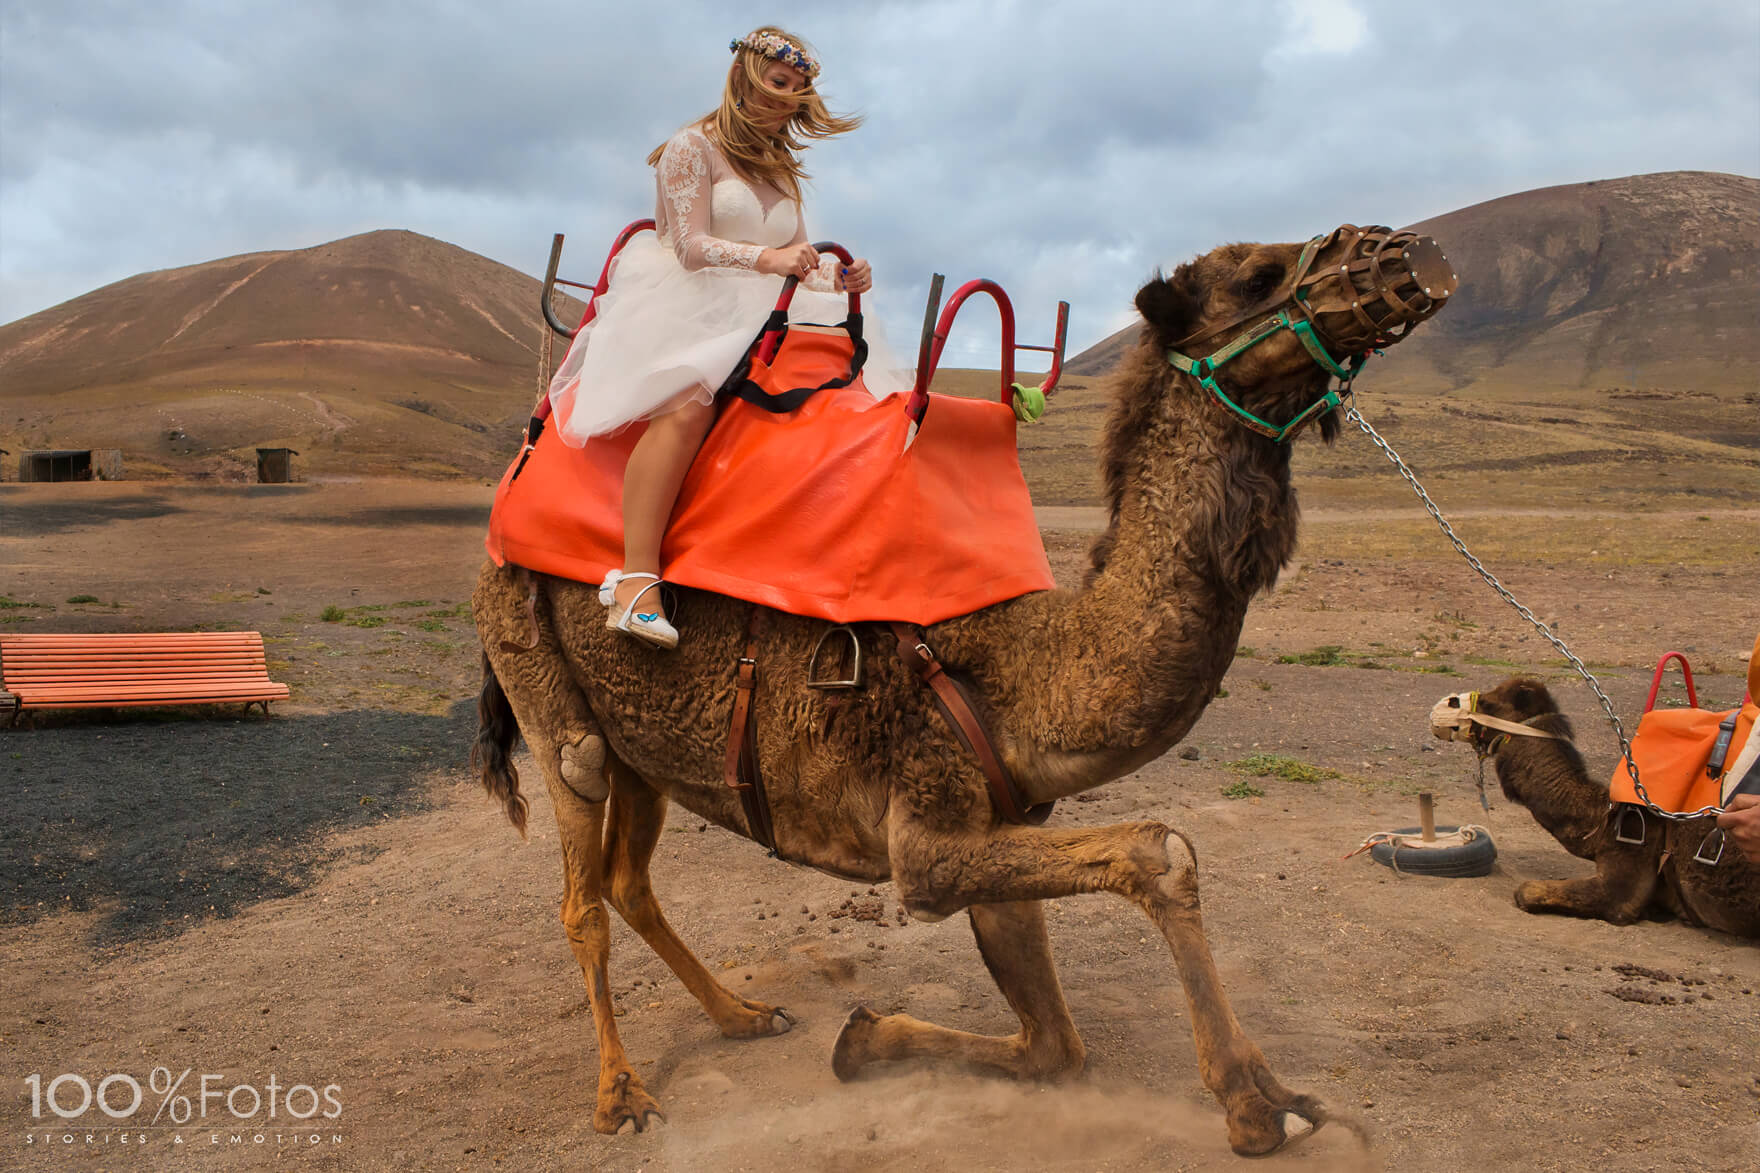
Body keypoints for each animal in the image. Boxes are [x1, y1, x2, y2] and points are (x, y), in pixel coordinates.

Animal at [475, 228, 1450, 1148]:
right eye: (1257, 276)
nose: (1400, 250)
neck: (1031, 671)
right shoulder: (929, 832)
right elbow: (1161, 851)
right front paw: (1254, 1103)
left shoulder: (1003, 820)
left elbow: (1057, 1045)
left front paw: (864, 1037)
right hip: (540, 679)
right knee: (581, 877)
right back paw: (622, 1094)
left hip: (647, 748)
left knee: (629, 878)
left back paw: (744, 1015)